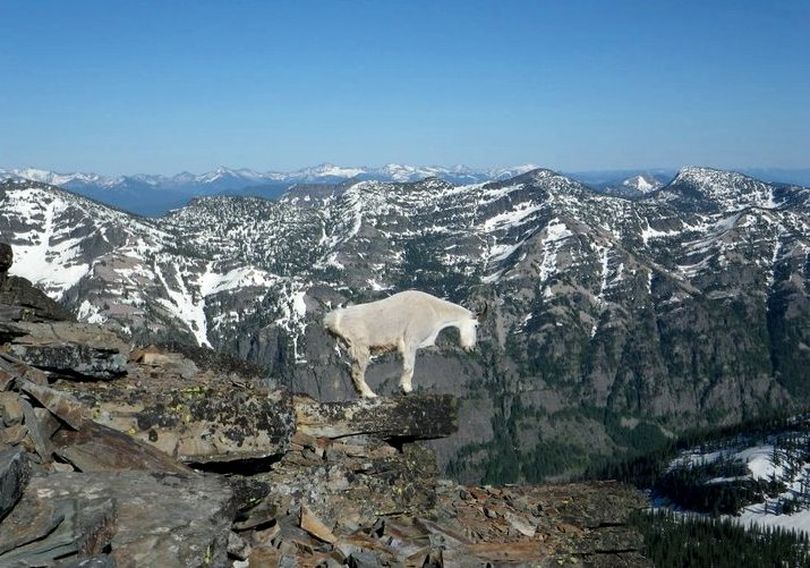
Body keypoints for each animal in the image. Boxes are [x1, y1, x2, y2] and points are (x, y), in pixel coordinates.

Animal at [324, 290, 480, 398]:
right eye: (476, 326)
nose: (471, 347)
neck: (435, 311)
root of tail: (333, 320)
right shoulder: (412, 339)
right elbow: (409, 366)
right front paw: (406, 388)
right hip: (361, 348)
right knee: (357, 373)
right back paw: (370, 394)